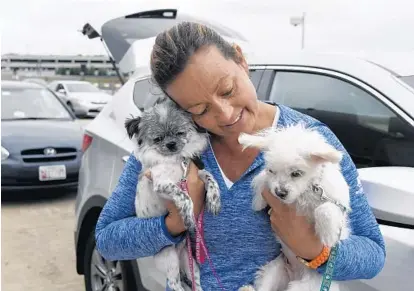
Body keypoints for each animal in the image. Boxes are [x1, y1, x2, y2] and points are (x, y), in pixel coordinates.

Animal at [238, 124, 350, 291]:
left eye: (296, 173)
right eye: (272, 170)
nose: (280, 193)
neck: (305, 192)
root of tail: (295, 276)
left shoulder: (337, 203)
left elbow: (324, 209)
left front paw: (328, 235)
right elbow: (260, 178)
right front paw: (258, 201)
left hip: (305, 287)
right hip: (275, 269)